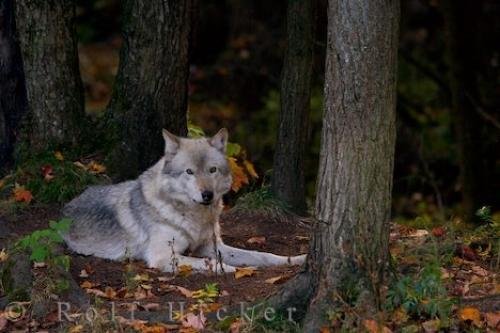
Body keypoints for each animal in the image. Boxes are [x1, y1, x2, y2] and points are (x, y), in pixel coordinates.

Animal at [62, 128, 304, 272]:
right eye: (189, 172)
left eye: (212, 170)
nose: (207, 195)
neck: (193, 216)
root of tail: (67, 206)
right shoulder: (162, 257)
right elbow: (208, 262)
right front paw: (226, 268)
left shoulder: (212, 246)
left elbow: (261, 255)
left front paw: (296, 260)